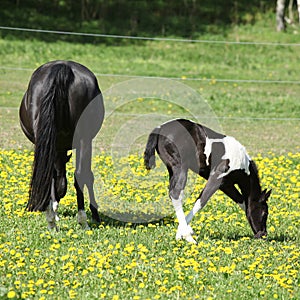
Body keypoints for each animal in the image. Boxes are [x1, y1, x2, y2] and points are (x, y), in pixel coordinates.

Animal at [19, 60, 104, 230]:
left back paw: (53, 220)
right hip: (84, 138)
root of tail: (62, 67)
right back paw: (82, 220)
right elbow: (87, 176)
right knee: (80, 175)